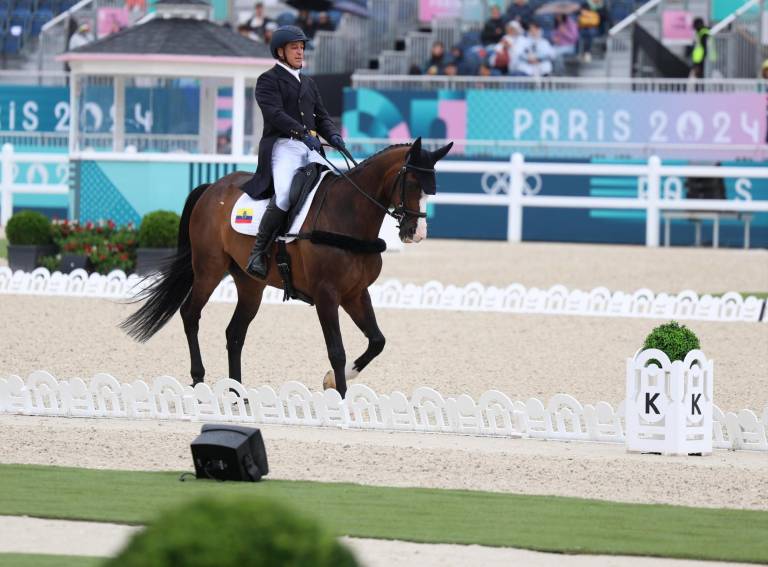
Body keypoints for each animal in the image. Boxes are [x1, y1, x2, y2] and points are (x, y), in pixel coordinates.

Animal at [121, 137, 453, 398]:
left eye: (434, 187)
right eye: (412, 183)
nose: (416, 233)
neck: (348, 214)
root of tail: (213, 188)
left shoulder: (355, 293)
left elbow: (377, 341)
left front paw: (332, 381)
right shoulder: (327, 295)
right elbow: (337, 350)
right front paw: (341, 397)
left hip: (250, 284)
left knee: (234, 332)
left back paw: (237, 393)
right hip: (208, 269)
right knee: (191, 314)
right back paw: (199, 378)